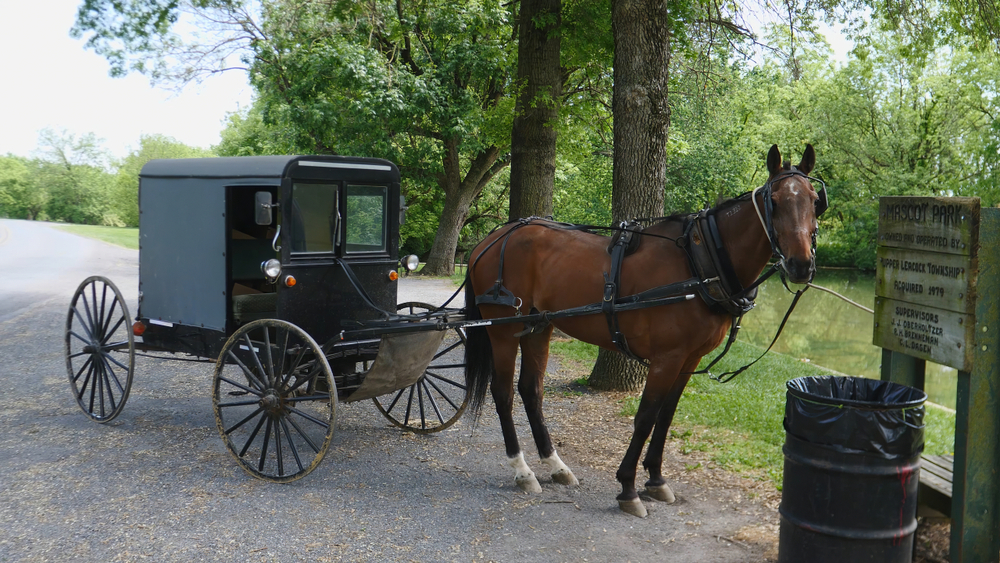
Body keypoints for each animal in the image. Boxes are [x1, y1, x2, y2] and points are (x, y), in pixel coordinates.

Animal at [464, 144, 824, 516]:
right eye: (775, 201)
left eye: (815, 200)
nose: (800, 264)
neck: (698, 263)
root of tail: (492, 239)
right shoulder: (667, 358)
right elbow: (645, 417)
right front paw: (628, 488)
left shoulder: (689, 359)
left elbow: (666, 416)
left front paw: (656, 479)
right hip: (504, 331)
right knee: (503, 393)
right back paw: (521, 470)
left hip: (538, 327)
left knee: (531, 391)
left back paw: (555, 465)